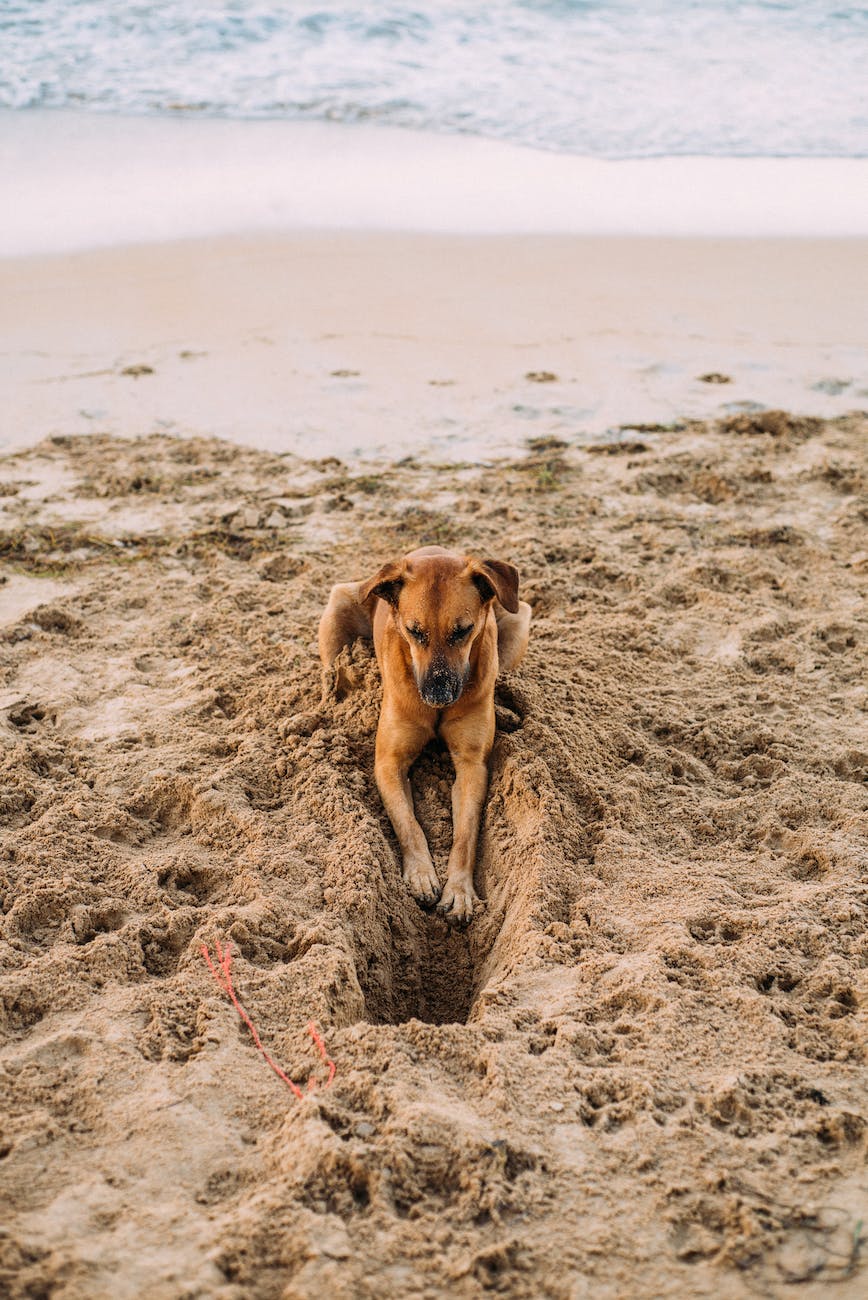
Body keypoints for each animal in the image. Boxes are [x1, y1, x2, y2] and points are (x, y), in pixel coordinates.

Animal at [320, 548, 530, 925]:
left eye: (463, 631)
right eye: (414, 632)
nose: (437, 694)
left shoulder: (471, 765)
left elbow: (465, 834)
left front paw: (458, 890)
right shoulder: (389, 763)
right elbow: (407, 823)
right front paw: (420, 874)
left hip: (519, 617)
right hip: (338, 607)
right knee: (330, 675)